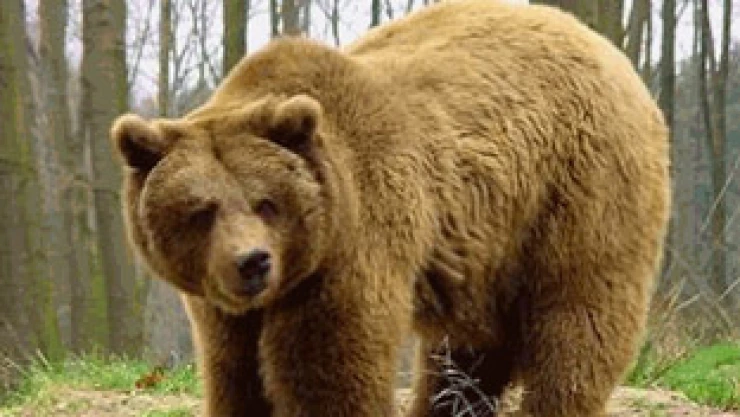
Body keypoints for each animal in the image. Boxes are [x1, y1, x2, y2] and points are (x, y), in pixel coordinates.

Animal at [110, 1, 670, 416]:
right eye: (200, 210)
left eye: (266, 202)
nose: (253, 262)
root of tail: (607, 49)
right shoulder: (223, 306)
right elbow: (236, 373)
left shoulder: (351, 246)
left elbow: (331, 367)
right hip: (486, 249)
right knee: (468, 351)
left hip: (578, 192)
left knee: (577, 322)